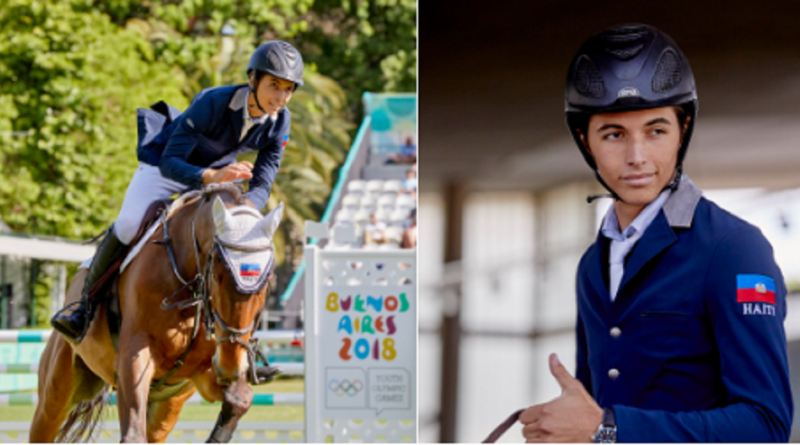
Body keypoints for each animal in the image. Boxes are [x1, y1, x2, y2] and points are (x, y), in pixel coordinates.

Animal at [28, 183, 284, 440]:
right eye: (216, 275)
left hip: (166, 404)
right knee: (45, 422)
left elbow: (240, 399)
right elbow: (133, 434)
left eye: (268, 279)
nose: (230, 366)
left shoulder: (202, 374)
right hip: (55, 393)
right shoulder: (134, 357)